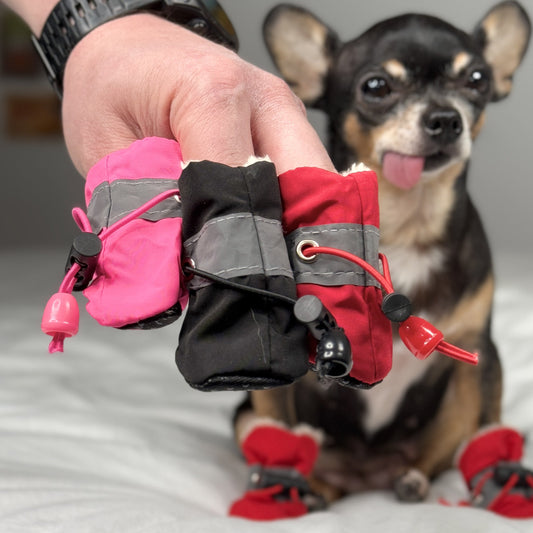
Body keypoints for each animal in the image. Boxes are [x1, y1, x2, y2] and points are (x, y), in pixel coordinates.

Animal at [235, 2, 528, 504]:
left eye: (476, 79)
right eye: (376, 87)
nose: (446, 117)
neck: (407, 227)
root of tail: (363, 478)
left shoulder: (479, 354)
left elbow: (487, 425)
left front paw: (500, 475)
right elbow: (279, 426)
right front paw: (282, 481)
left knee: (446, 446)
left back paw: (412, 480)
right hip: (246, 416)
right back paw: (307, 490)